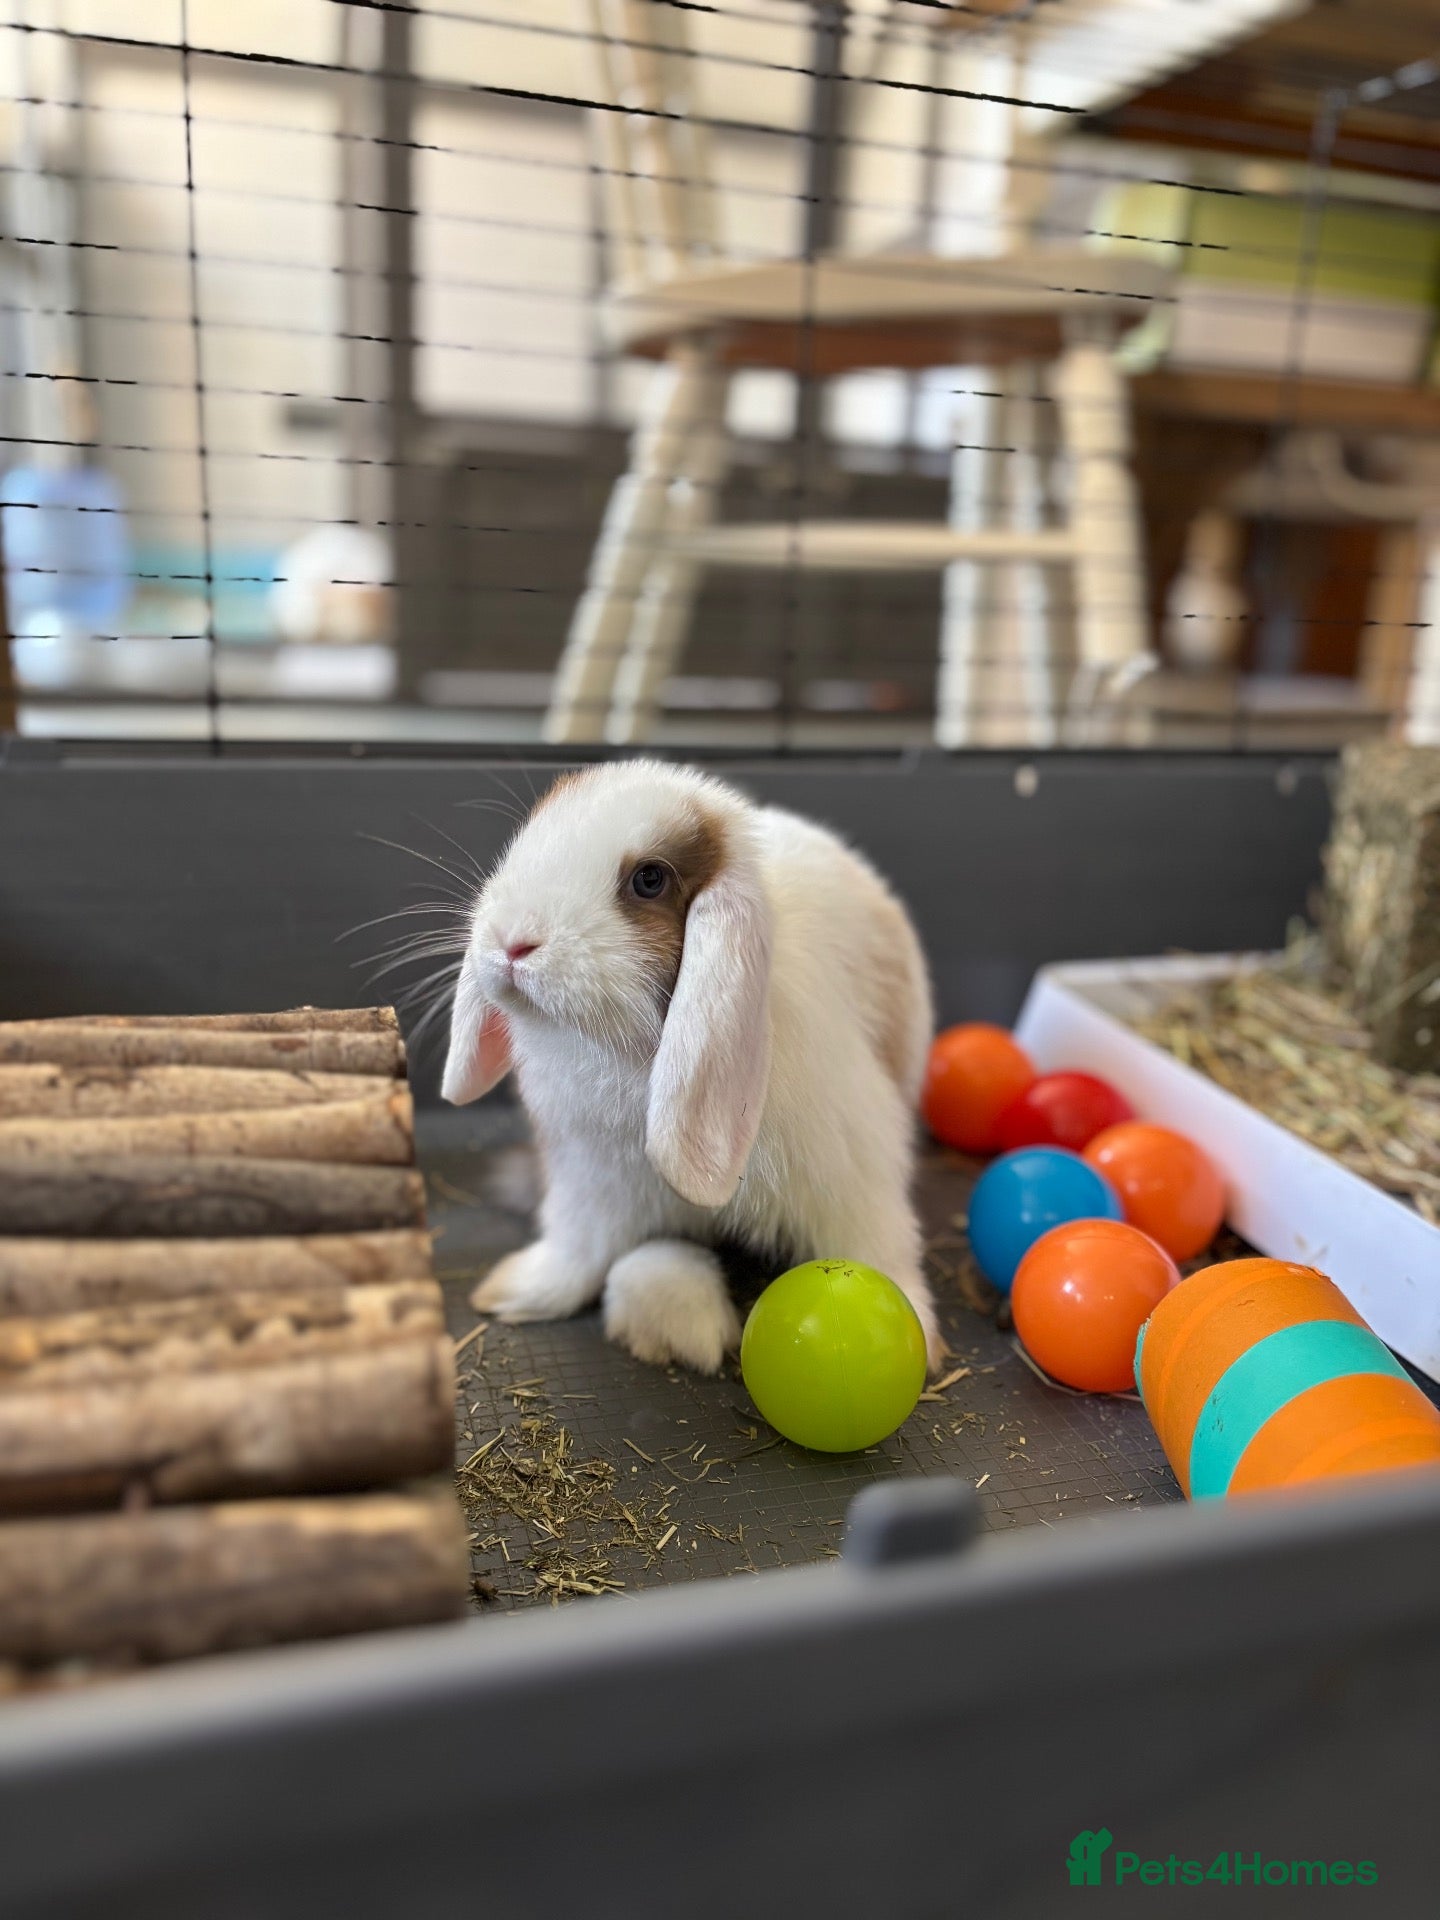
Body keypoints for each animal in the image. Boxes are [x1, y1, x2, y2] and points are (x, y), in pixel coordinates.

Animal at [442, 760, 942, 1376]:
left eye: (649, 880)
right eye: (527, 839)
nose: (512, 942)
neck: (628, 1055)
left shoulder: (852, 1177)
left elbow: (875, 1249)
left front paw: (915, 1337)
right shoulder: (588, 1179)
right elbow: (576, 1249)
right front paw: (517, 1291)